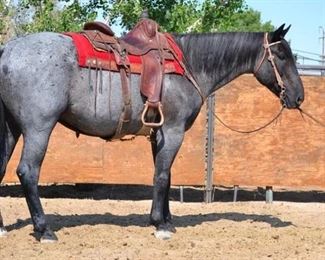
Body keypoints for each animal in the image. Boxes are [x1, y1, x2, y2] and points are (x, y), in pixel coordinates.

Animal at [0, 23, 304, 242]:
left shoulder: (158, 134)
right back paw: (44, 230)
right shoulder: (173, 130)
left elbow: (164, 176)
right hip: (38, 127)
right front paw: (161, 225)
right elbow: (162, 175)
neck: (190, 65)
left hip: (11, 128)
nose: (299, 97)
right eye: (281, 55)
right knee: (28, 171)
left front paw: (166, 220)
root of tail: (7, 51)